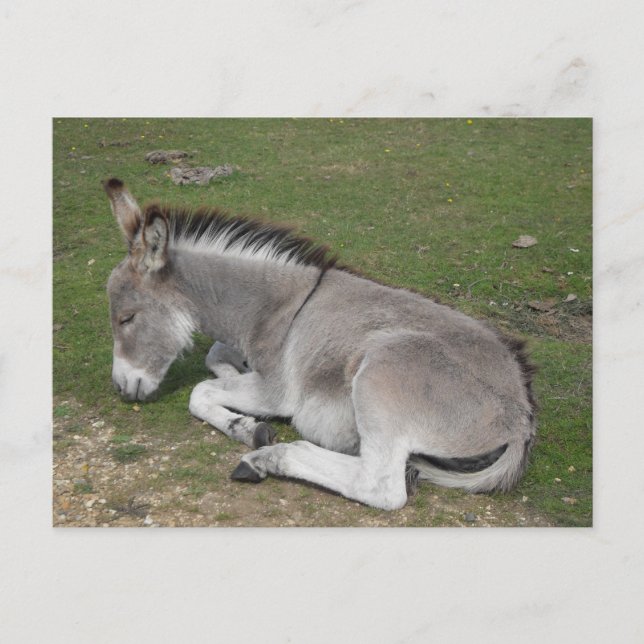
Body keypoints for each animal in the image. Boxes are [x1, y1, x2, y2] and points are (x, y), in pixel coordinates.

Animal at [104, 178, 536, 510]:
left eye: (126, 318)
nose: (121, 388)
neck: (273, 307)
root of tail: (519, 418)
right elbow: (215, 357)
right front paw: (237, 398)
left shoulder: (274, 391)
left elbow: (199, 392)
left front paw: (248, 427)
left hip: (382, 376)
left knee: (380, 486)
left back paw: (266, 458)